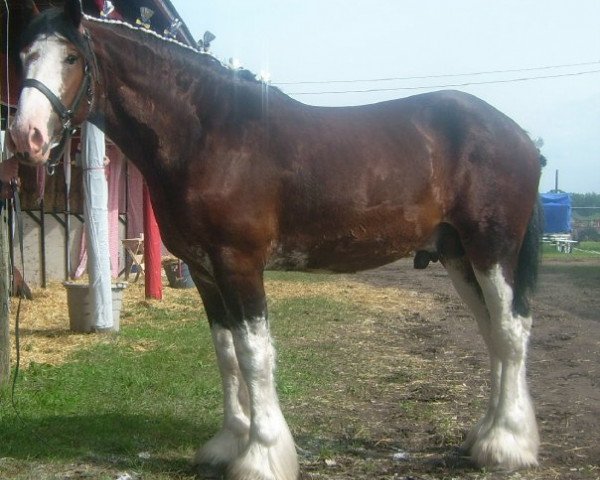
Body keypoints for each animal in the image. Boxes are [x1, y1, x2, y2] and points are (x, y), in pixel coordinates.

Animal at [8, 1, 544, 478]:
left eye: (71, 57)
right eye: (23, 56)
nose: (25, 136)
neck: (208, 136)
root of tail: (519, 136)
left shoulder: (239, 263)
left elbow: (254, 354)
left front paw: (261, 456)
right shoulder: (204, 270)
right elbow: (226, 355)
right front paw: (228, 443)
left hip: (492, 251)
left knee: (511, 331)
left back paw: (506, 446)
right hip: (458, 256)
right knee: (493, 333)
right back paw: (484, 435)